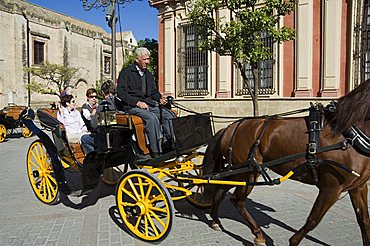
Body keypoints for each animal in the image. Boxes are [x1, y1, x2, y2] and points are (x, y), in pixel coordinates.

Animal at [201, 80, 370, 245]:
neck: (348, 134)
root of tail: (230, 127)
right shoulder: (331, 189)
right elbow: (312, 221)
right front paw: (293, 241)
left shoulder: (358, 187)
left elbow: (364, 221)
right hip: (248, 173)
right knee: (237, 200)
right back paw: (258, 234)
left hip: (241, 172)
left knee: (222, 187)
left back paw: (216, 220)